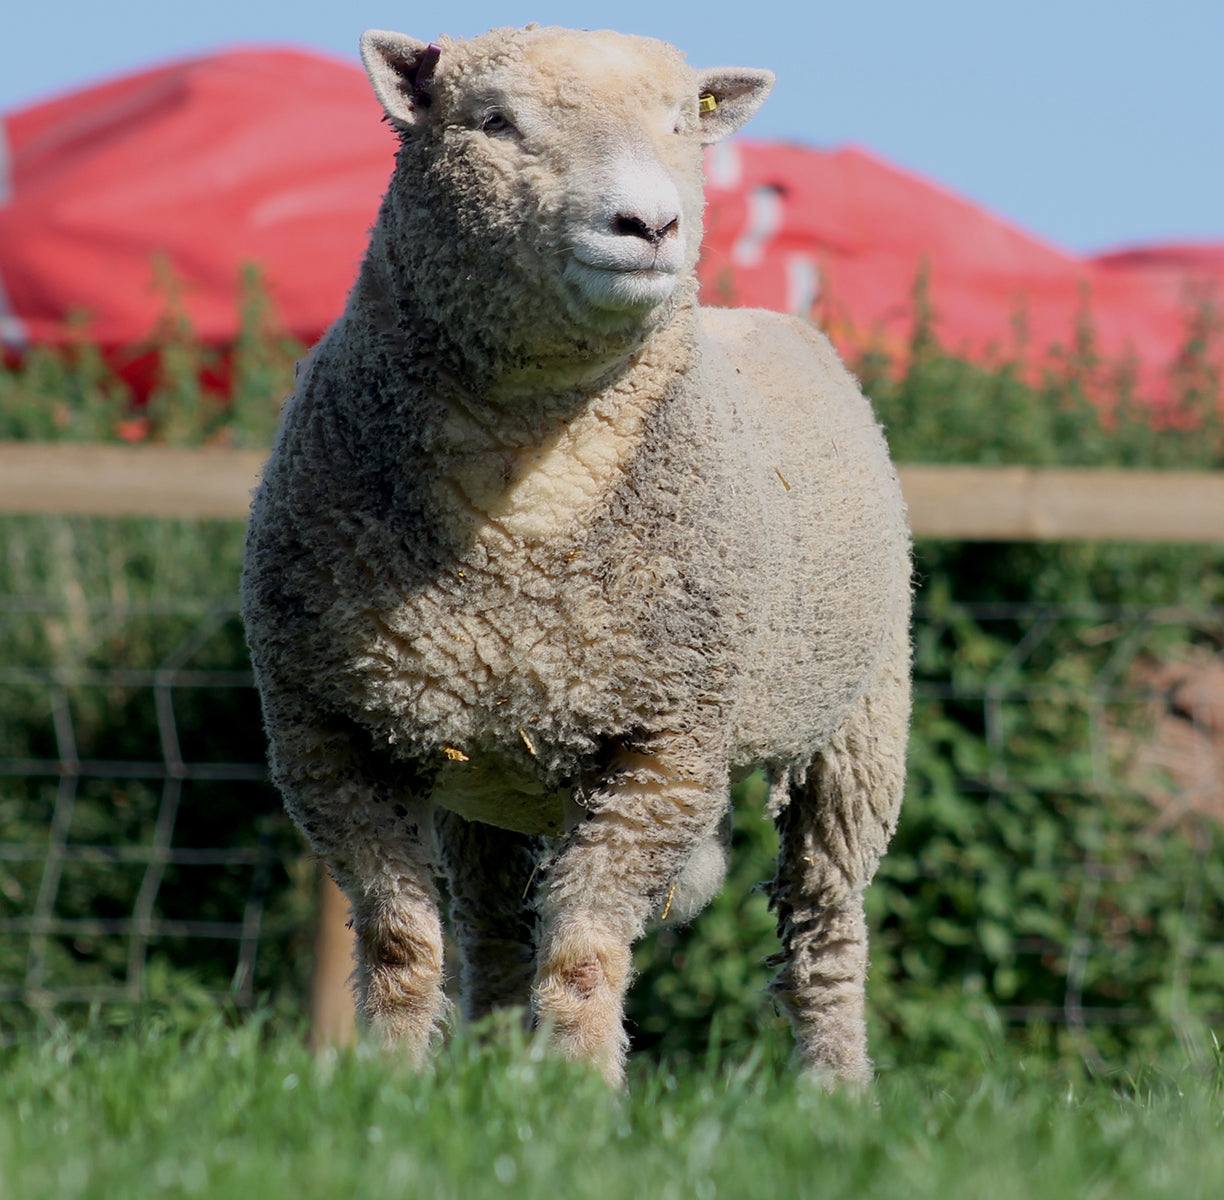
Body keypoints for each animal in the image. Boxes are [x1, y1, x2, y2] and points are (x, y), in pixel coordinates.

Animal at [241, 24, 911, 1088]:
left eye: (684, 122)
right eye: (493, 122)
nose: (651, 224)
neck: (519, 515)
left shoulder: (665, 741)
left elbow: (589, 951)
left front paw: (577, 1092)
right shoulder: (325, 732)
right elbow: (399, 944)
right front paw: (388, 1086)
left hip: (859, 726)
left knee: (826, 923)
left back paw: (836, 1090)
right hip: (483, 768)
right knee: (492, 931)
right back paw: (482, 1072)